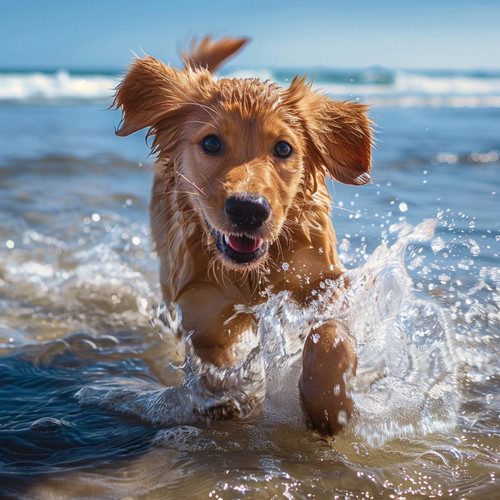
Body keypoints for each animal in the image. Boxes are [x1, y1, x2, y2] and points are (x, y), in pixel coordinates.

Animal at [114, 35, 372, 434]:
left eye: (283, 148)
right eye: (211, 143)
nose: (248, 209)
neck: (251, 274)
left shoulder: (325, 282)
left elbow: (330, 335)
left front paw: (329, 403)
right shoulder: (203, 313)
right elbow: (218, 369)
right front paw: (232, 401)